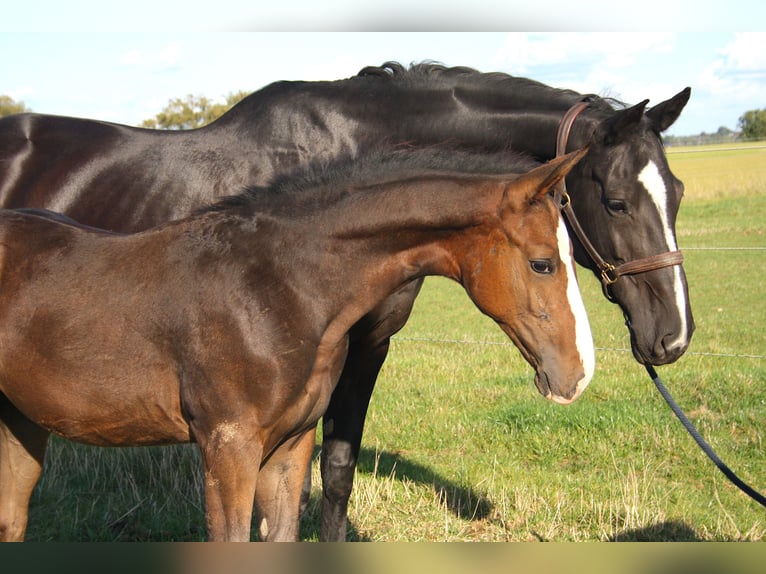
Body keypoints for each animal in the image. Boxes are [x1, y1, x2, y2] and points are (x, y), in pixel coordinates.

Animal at [0, 64, 692, 544]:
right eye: (615, 201)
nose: (673, 338)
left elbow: (332, 473)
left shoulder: (361, 350)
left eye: (679, 191)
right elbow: (324, 478)